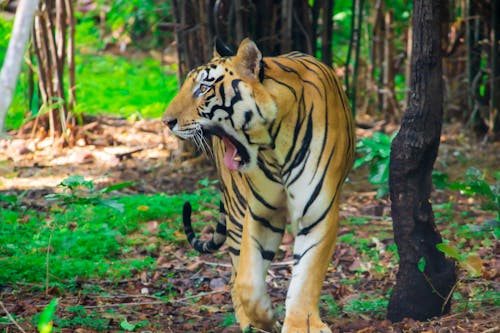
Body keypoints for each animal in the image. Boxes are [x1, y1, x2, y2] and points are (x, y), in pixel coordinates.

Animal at [162, 37, 354, 330]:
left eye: (204, 88)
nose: (166, 121)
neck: (274, 143)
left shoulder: (317, 213)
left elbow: (306, 277)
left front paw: (301, 324)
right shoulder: (261, 213)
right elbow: (247, 281)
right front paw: (265, 319)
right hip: (235, 208)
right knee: (233, 275)